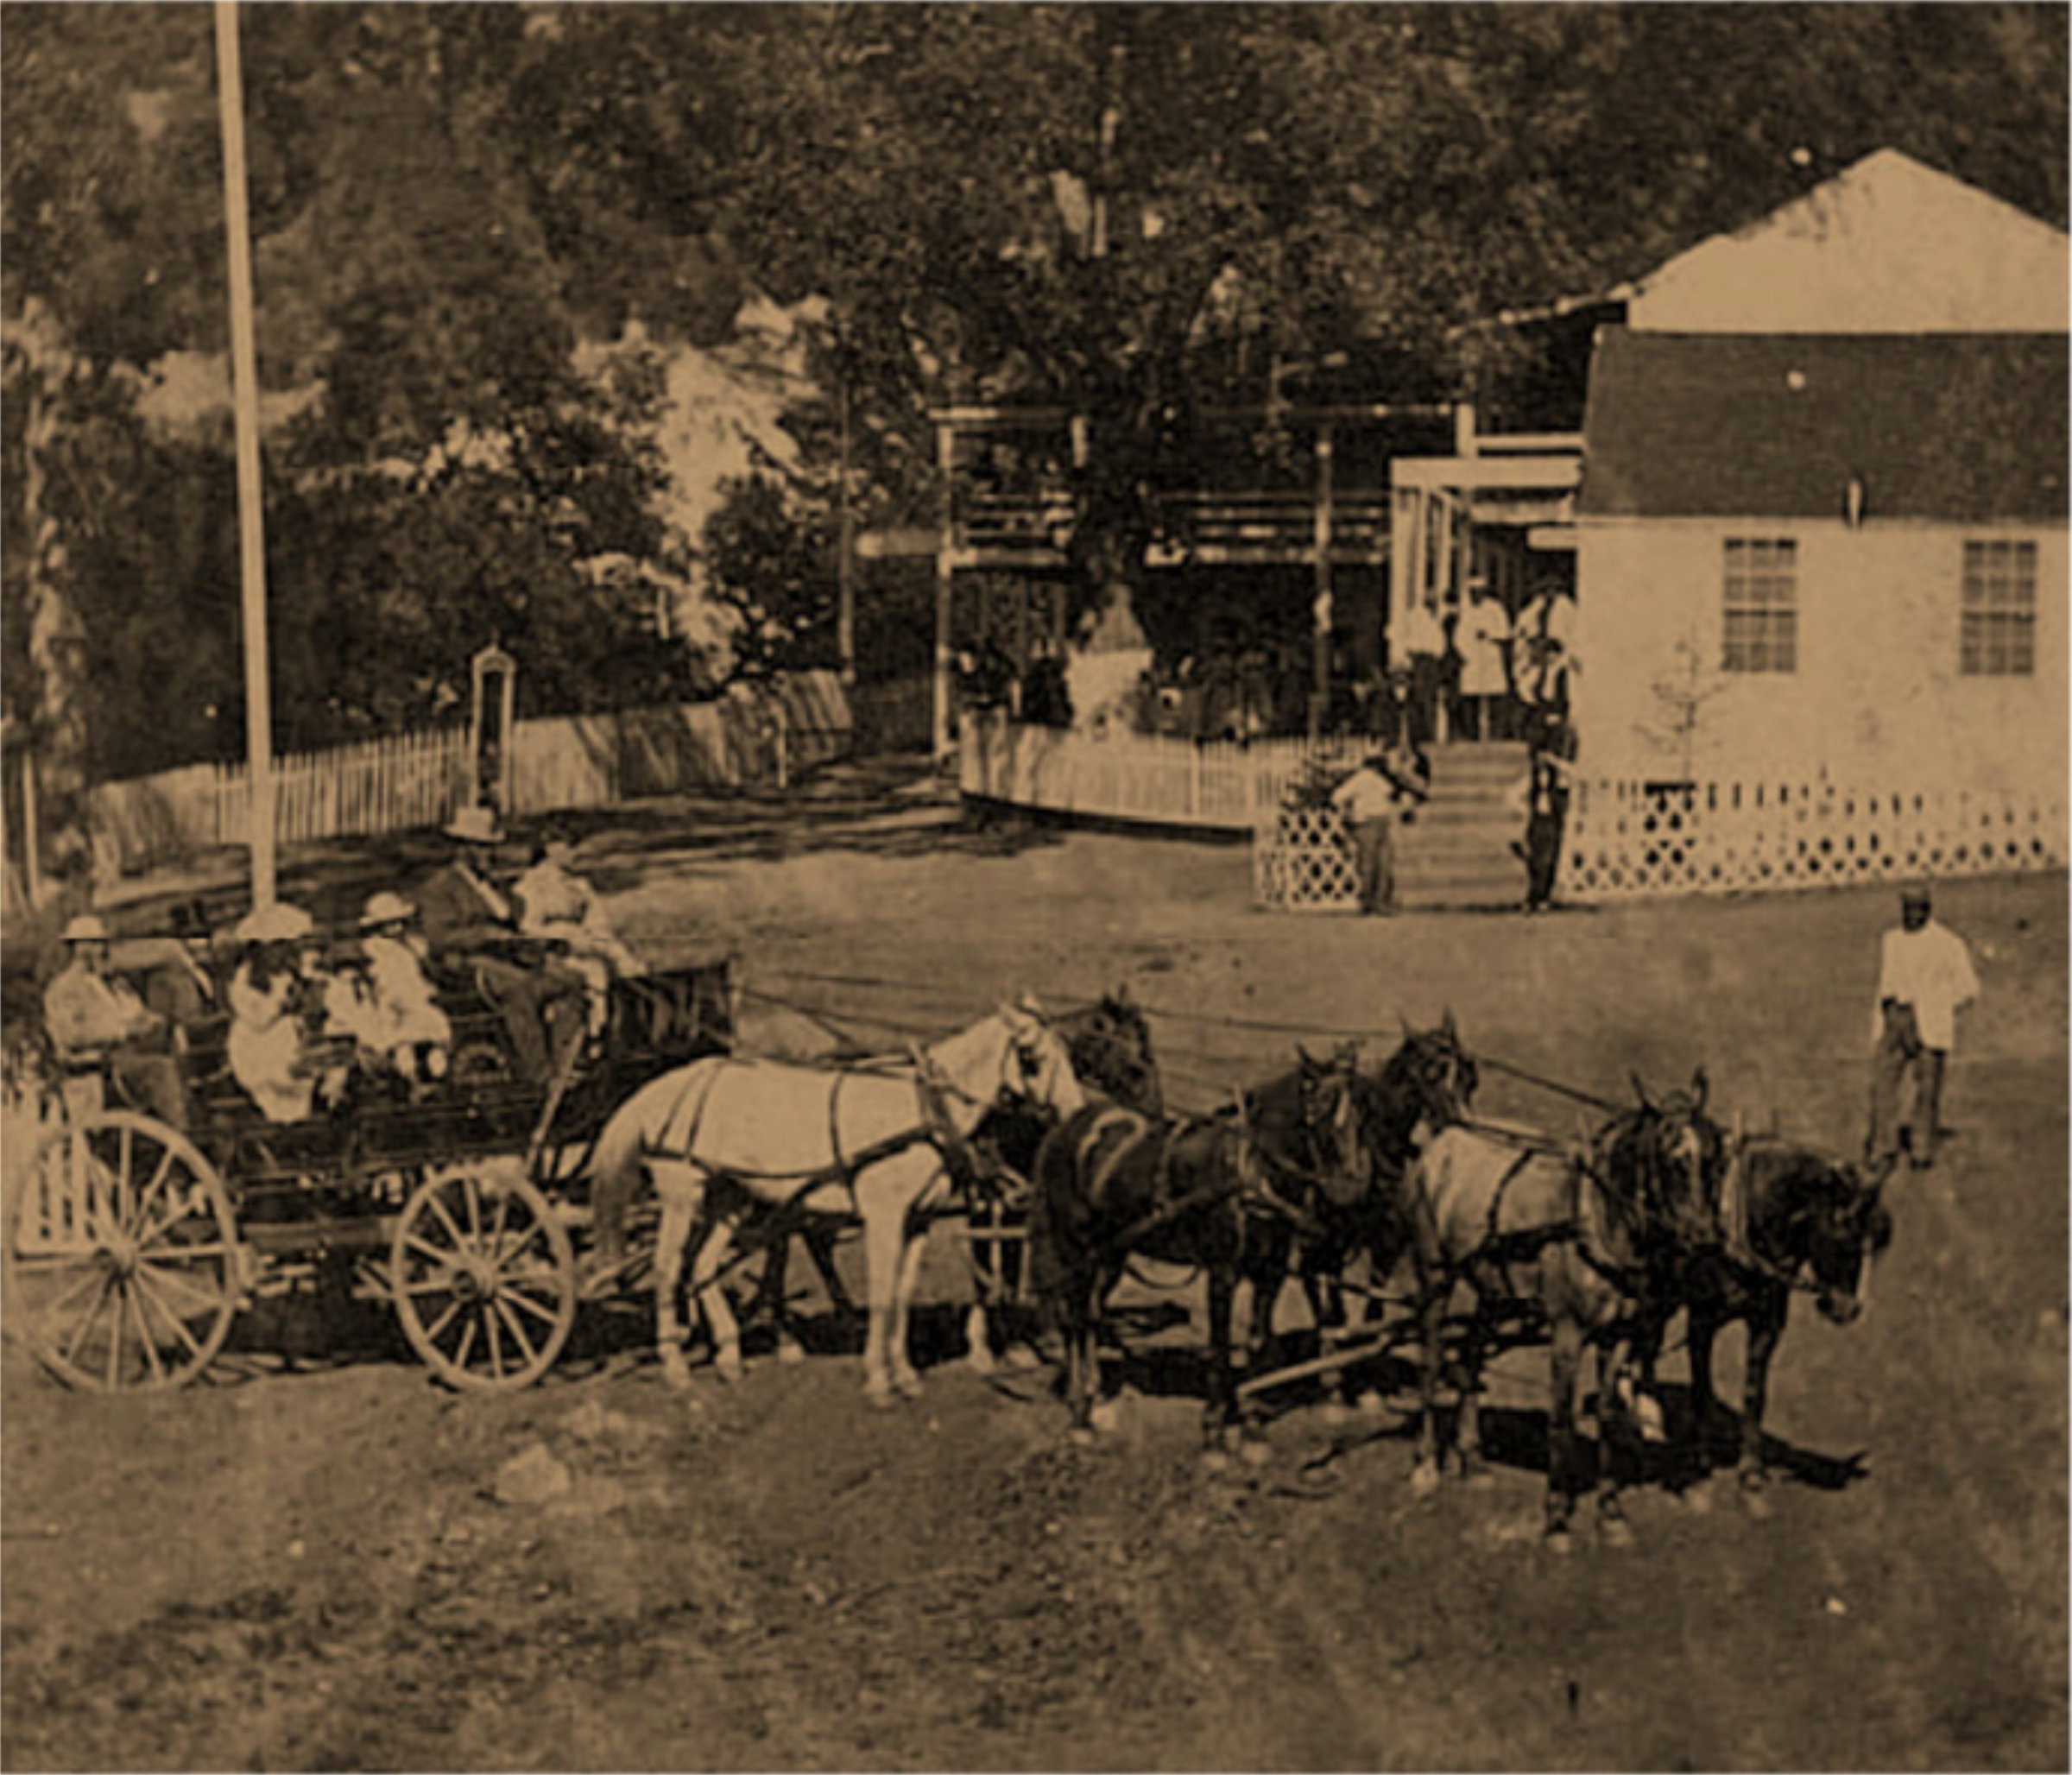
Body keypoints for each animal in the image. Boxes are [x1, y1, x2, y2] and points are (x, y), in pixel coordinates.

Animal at [588, 1002, 1085, 1408]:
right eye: (1033, 1057)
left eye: (1066, 1052)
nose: (1076, 1112)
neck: (924, 1106)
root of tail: (663, 1086)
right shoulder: (885, 1217)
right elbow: (883, 1294)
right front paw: (878, 1380)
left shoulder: (918, 1220)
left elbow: (902, 1295)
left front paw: (905, 1375)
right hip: (680, 1195)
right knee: (667, 1268)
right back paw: (674, 1364)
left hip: (728, 1197)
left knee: (702, 1265)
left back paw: (729, 1356)